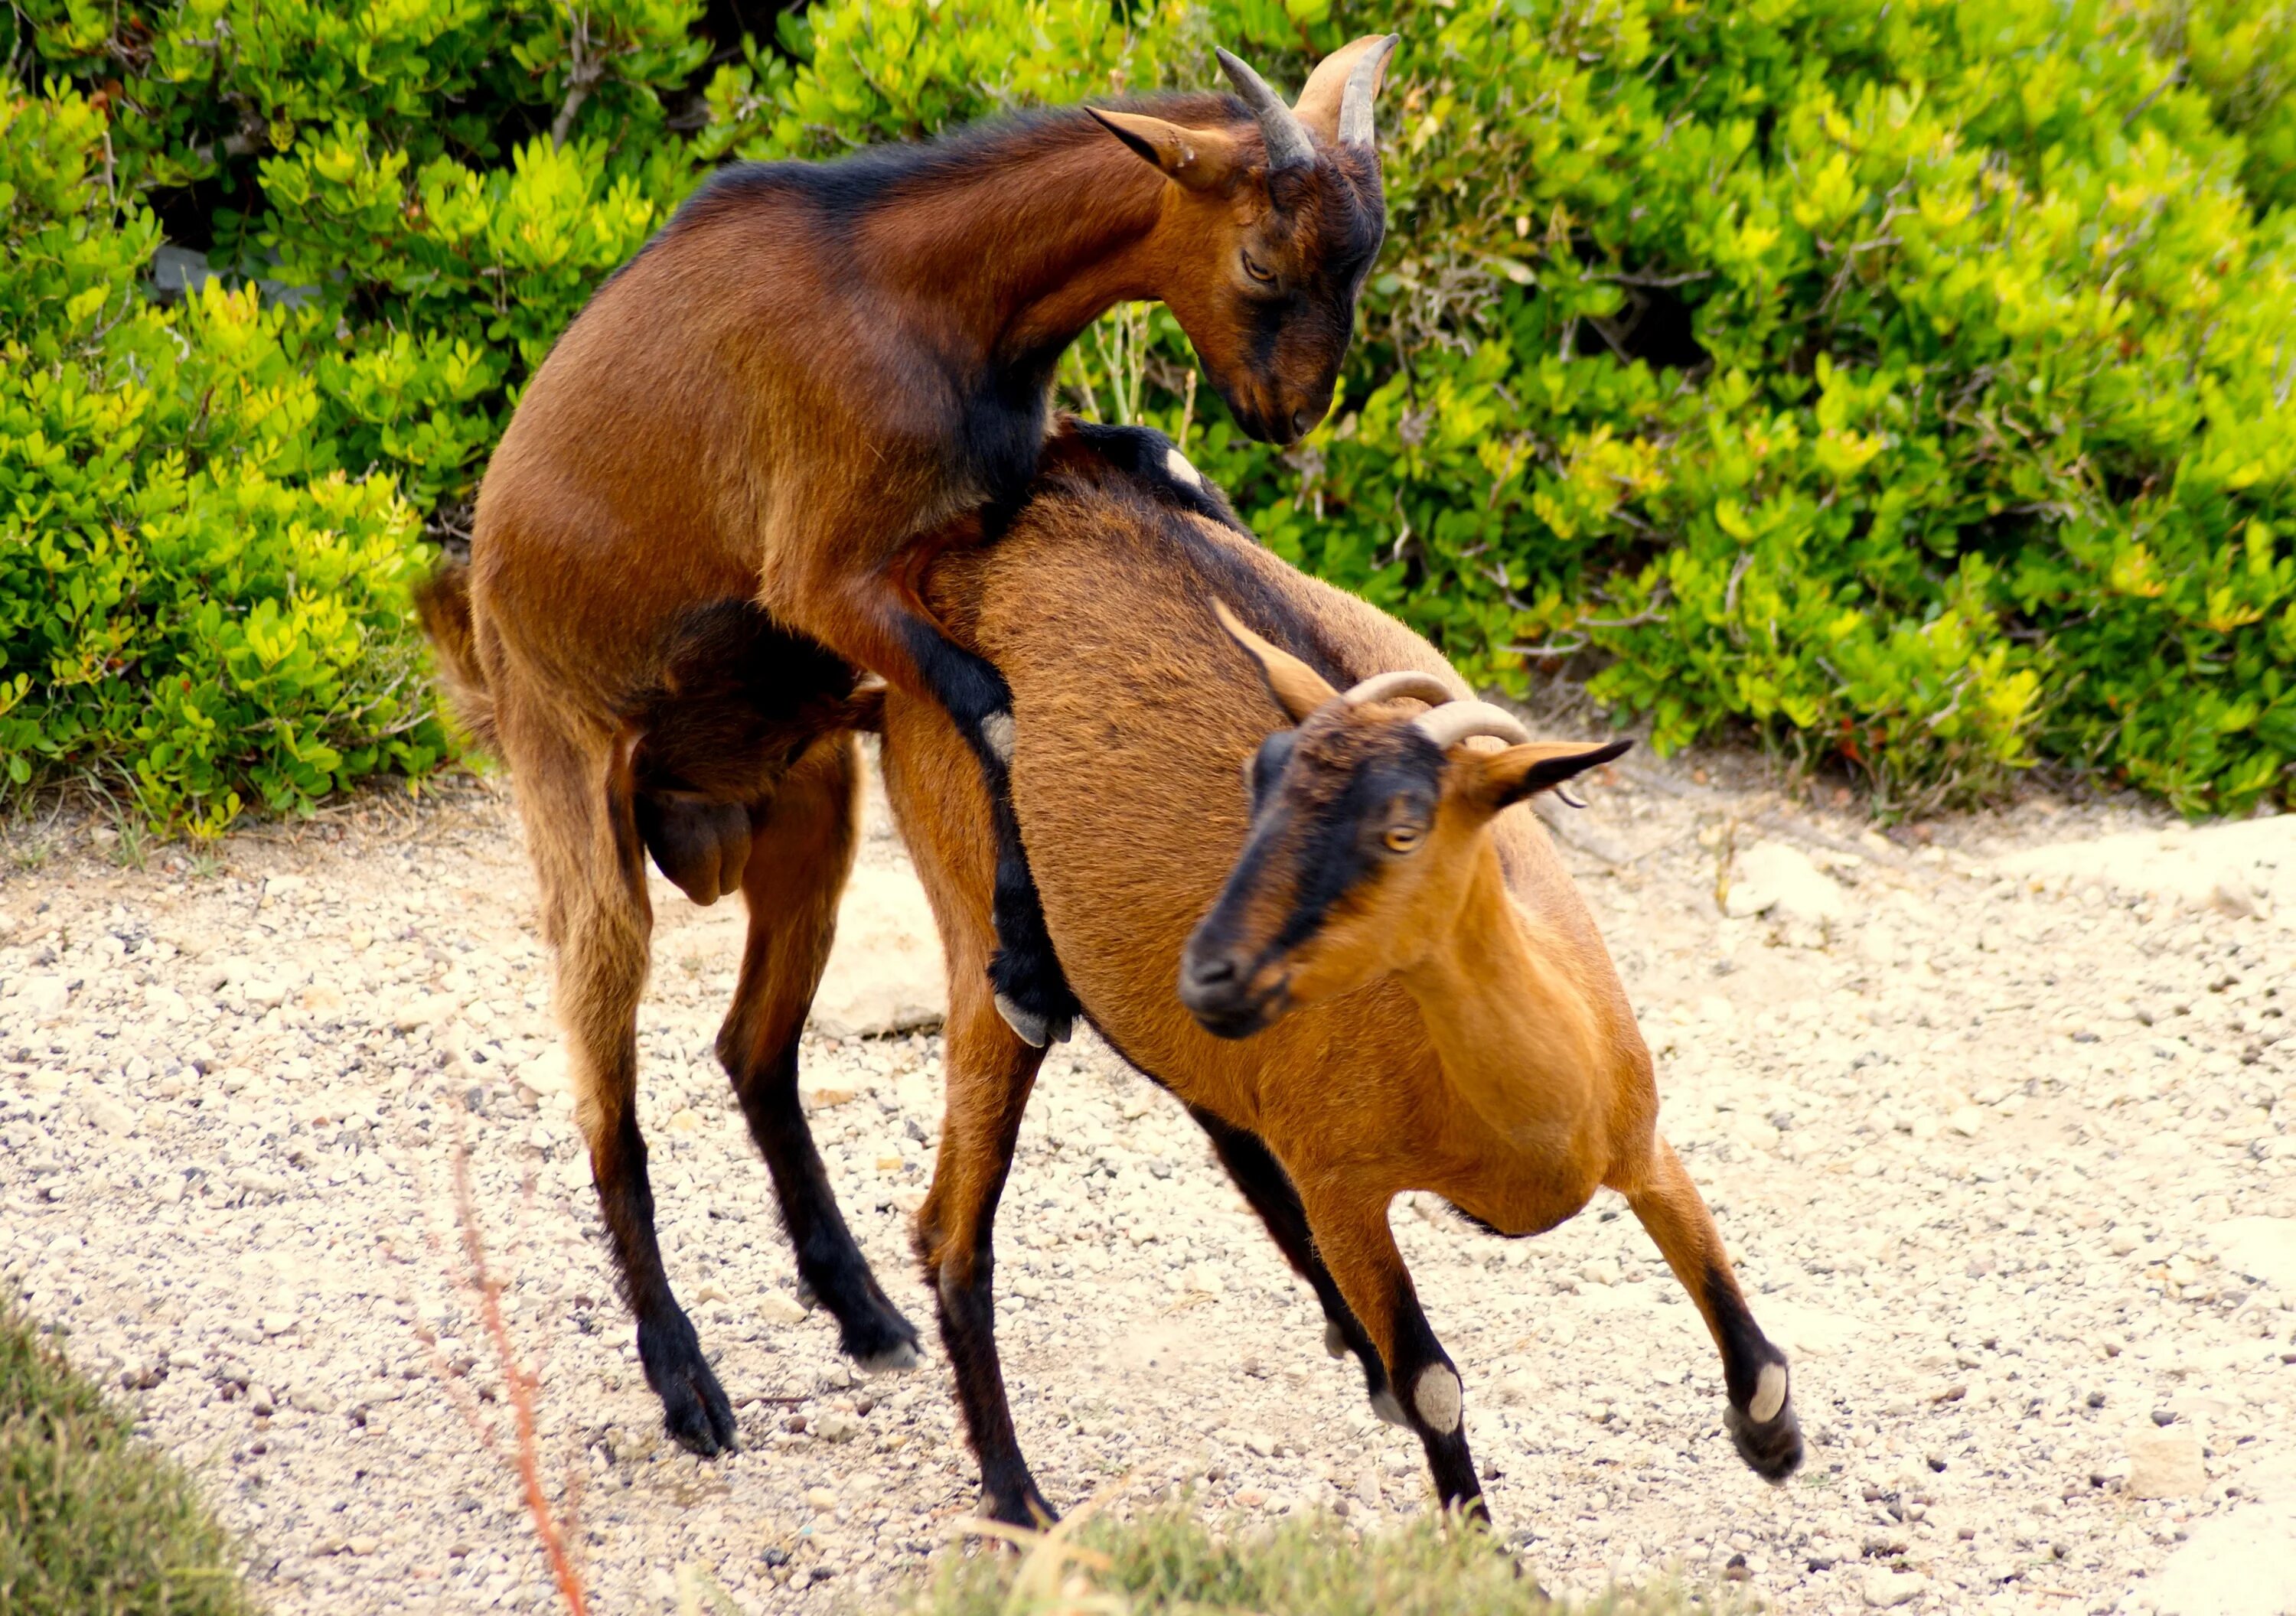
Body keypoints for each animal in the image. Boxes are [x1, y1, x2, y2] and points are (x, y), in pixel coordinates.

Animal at [427, 37, 1396, 1460]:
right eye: (1266, 263)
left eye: (1363, 258)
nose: (1286, 415)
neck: (921, 291)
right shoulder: (829, 579)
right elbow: (994, 707)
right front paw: (1030, 969)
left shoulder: (979, 506)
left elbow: (1150, 462)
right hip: (581, 815)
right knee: (610, 1105)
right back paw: (685, 1381)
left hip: (809, 812)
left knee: (752, 1049)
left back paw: (862, 1306)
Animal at [868, 420, 1800, 1524]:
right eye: (1261, 781)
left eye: (1402, 825)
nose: (1214, 969)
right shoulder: (1347, 1193)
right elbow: (1435, 1382)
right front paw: (1477, 1546)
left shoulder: (1641, 1141)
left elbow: (1752, 1341)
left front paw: (1774, 1442)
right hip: (978, 955)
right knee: (952, 1232)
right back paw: (1018, 1502)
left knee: (1222, 1140)